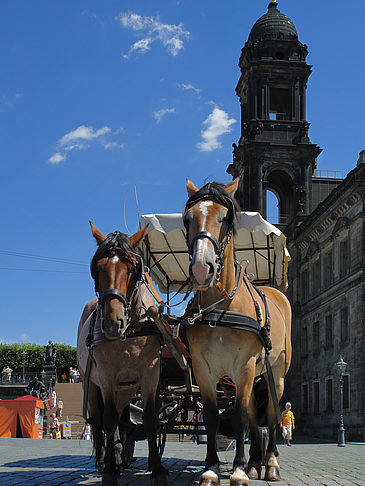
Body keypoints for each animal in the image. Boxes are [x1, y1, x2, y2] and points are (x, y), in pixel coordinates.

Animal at [77, 223, 168, 486]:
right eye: (98, 268)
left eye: (131, 269)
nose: (111, 322)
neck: (130, 331)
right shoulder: (106, 376)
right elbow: (107, 419)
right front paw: (108, 470)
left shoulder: (150, 376)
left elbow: (150, 419)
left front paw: (157, 468)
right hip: (90, 382)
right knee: (99, 419)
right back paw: (104, 461)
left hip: (126, 387)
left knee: (119, 415)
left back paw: (117, 456)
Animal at [183, 179, 292, 486]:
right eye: (188, 218)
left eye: (225, 218)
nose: (201, 268)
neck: (222, 307)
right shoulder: (203, 369)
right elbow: (211, 417)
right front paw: (211, 469)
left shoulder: (244, 366)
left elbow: (242, 415)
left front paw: (239, 472)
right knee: (257, 415)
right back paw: (255, 462)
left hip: (275, 373)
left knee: (271, 414)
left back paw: (270, 463)